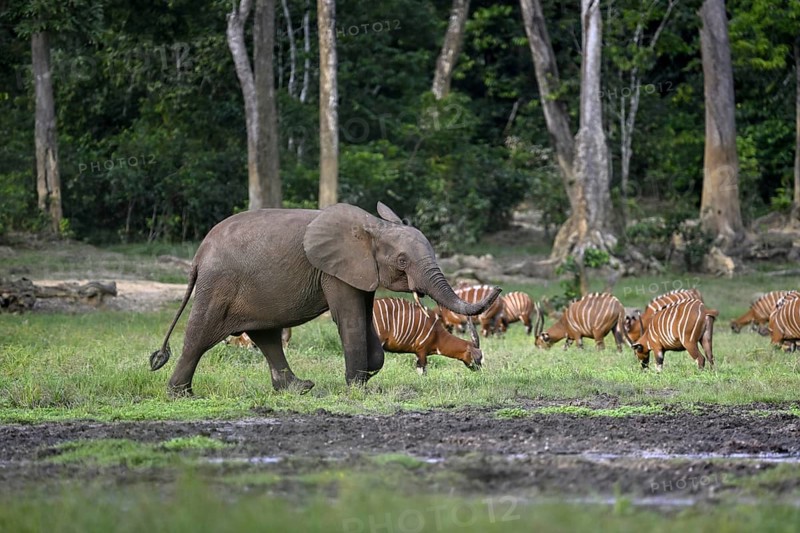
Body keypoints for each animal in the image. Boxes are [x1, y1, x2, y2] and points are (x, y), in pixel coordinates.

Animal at [149, 202, 501, 395]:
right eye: (402, 261)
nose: (497, 289)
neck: (374, 227)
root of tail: (198, 254)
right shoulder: (333, 270)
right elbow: (349, 319)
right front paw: (357, 388)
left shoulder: (360, 271)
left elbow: (363, 316)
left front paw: (367, 376)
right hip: (219, 284)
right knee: (200, 335)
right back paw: (180, 395)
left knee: (266, 336)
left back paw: (299, 389)